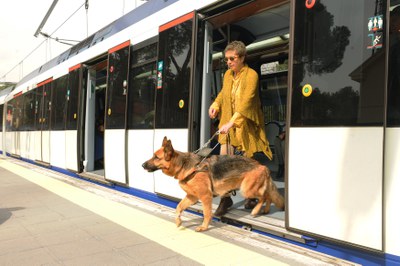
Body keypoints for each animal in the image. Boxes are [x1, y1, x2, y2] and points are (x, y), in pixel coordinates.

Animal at [141, 136, 284, 232]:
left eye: (156, 157)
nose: (142, 165)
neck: (184, 166)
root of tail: (262, 166)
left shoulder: (205, 196)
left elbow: (206, 213)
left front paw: (204, 227)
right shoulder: (192, 197)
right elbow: (178, 207)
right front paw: (178, 221)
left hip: (246, 189)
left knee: (263, 197)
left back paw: (255, 210)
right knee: (268, 196)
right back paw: (265, 210)